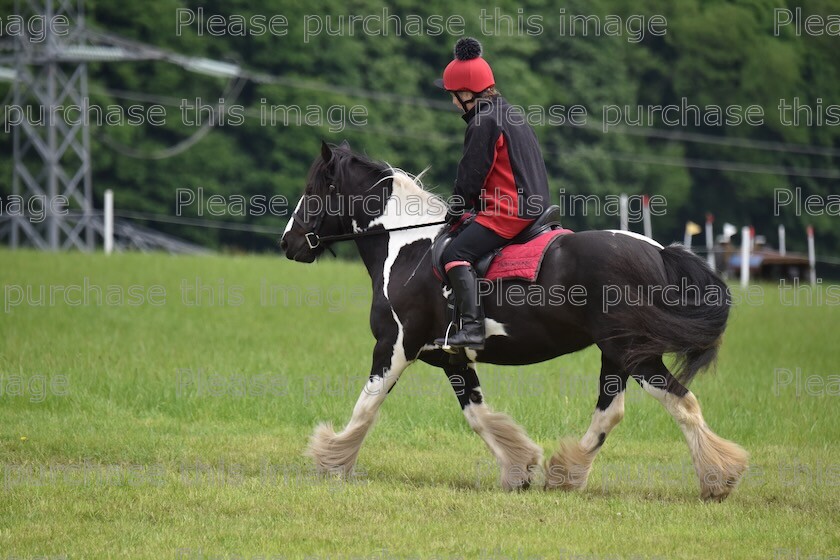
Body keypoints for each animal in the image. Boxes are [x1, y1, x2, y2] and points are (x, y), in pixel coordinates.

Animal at [282, 142, 748, 500]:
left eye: (312, 189)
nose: (288, 242)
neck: (407, 249)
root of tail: (659, 252)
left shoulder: (395, 346)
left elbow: (366, 405)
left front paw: (331, 460)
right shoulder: (452, 359)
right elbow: (477, 416)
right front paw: (519, 468)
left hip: (632, 352)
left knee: (681, 402)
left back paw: (717, 479)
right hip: (617, 355)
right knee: (611, 414)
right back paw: (565, 475)